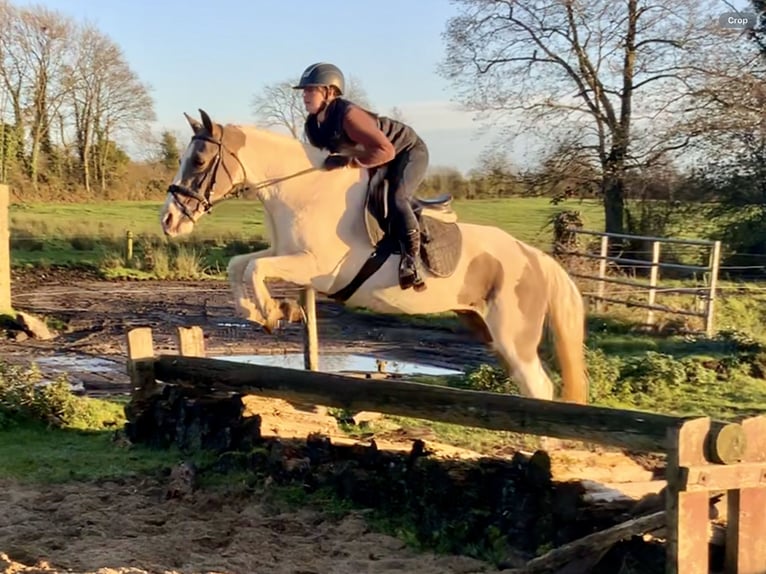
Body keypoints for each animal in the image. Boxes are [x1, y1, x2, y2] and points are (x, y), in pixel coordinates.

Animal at [160, 109, 592, 404]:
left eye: (199, 161)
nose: (168, 221)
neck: (301, 191)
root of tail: (534, 257)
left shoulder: (318, 268)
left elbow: (255, 269)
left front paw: (274, 311)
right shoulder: (286, 254)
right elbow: (241, 267)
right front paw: (270, 313)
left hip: (513, 336)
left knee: (539, 387)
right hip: (489, 331)